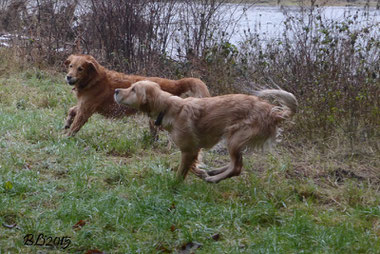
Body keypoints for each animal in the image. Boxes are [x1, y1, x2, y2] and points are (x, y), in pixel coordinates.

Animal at [63, 54, 209, 137]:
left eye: (80, 69)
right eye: (71, 66)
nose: (68, 77)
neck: (93, 79)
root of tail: (174, 83)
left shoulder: (86, 109)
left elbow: (76, 125)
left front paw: (66, 138)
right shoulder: (84, 105)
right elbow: (72, 110)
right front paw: (67, 122)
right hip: (153, 121)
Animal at [114, 80, 298, 182]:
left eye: (133, 89)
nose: (116, 90)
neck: (169, 108)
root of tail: (273, 113)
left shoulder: (189, 150)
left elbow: (182, 171)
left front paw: (174, 185)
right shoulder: (195, 150)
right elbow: (194, 166)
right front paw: (200, 171)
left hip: (234, 138)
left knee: (237, 168)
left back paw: (213, 179)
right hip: (233, 139)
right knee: (235, 165)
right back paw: (214, 172)